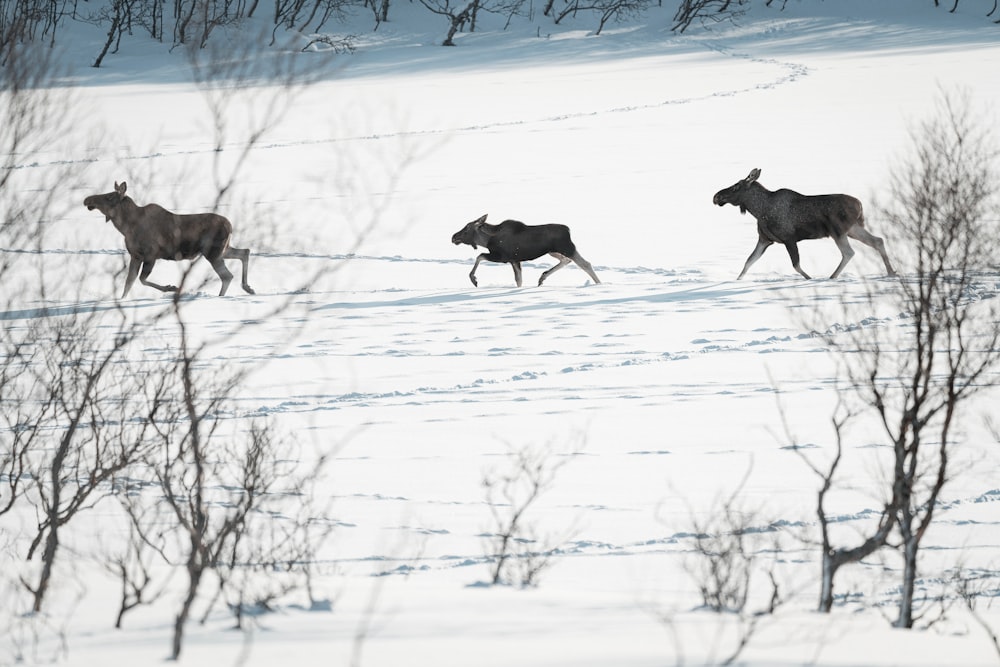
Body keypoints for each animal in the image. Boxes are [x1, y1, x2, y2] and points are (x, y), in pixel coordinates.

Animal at [84, 183, 256, 298]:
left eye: (109, 196)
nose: (87, 200)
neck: (125, 226)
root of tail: (230, 226)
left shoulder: (151, 255)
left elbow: (141, 280)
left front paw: (171, 287)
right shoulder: (136, 256)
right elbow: (129, 283)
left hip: (212, 252)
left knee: (227, 275)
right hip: (222, 249)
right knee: (244, 252)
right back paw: (248, 288)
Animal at [454, 214, 600, 288]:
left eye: (467, 229)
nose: (453, 237)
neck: (486, 241)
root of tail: (568, 230)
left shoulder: (503, 257)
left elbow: (479, 256)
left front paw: (474, 280)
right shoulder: (515, 260)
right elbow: (519, 280)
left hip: (567, 248)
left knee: (585, 264)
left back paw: (599, 284)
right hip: (553, 251)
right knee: (566, 260)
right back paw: (542, 277)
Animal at [712, 170, 900, 282]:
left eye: (736, 186)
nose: (716, 196)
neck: (758, 210)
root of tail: (860, 205)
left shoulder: (789, 239)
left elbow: (796, 265)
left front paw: (810, 279)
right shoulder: (765, 240)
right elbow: (748, 262)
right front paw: (736, 281)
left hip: (838, 231)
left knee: (849, 252)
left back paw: (832, 277)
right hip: (853, 229)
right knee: (878, 241)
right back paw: (891, 272)